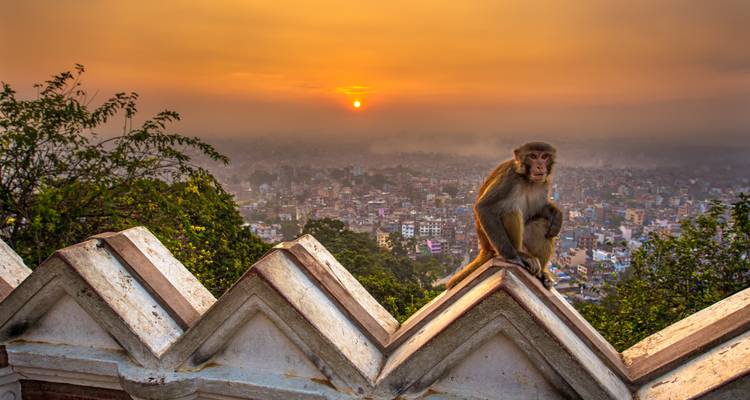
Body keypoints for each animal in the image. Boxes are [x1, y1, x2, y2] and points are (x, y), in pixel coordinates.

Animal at [446, 142, 562, 289]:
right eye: (533, 156)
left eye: (545, 156)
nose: (540, 166)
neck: (527, 179)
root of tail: (484, 247)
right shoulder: (509, 178)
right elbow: (485, 208)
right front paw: (515, 257)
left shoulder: (544, 183)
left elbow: (539, 210)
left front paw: (557, 215)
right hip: (494, 244)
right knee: (510, 210)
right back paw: (521, 255)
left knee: (541, 224)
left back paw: (542, 274)